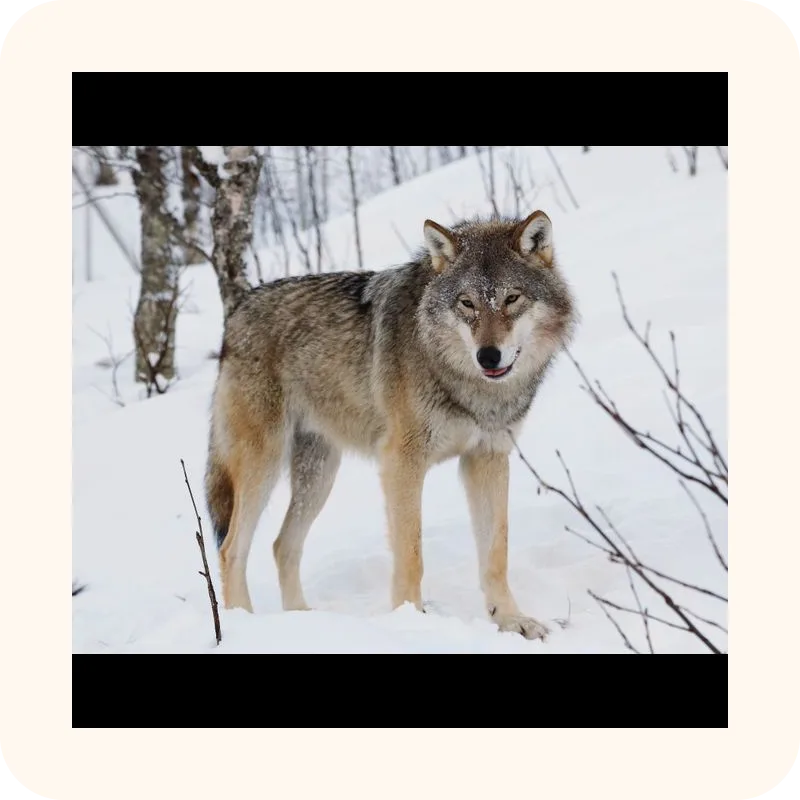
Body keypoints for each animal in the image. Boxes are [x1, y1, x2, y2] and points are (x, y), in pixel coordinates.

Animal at [204, 210, 578, 640]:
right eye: (467, 303)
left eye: (511, 299)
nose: (488, 356)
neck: (466, 384)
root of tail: (236, 313)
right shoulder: (402, 462)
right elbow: (411, 554)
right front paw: (412, 621)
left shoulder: (487, 458)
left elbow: (496, 553)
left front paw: (511, 620)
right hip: (263, 466)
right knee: (231, 549)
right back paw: (242, 625)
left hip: (319, 475)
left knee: (283, 545)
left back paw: (304, 620)